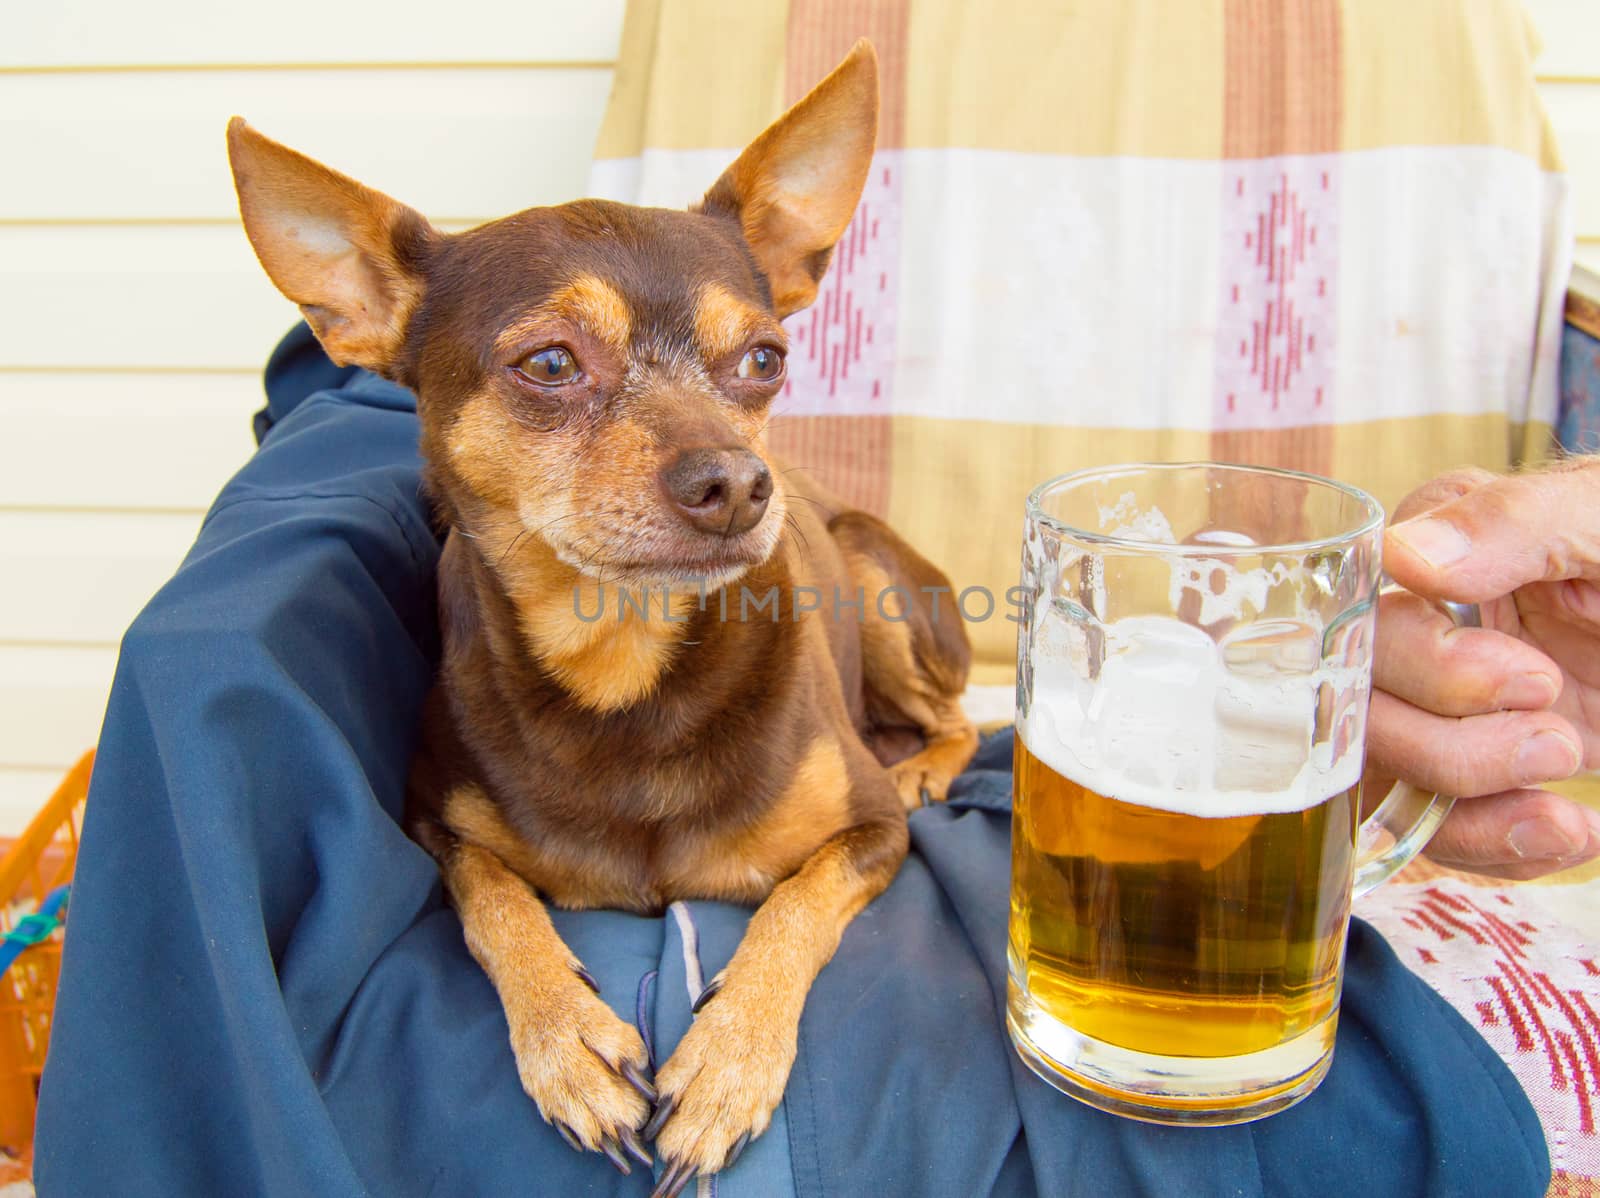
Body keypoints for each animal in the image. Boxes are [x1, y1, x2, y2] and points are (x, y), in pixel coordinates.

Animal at [225, 41, 972, 1190]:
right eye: (549, 364)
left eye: (765, 359)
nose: (739, 484)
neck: (627, 670)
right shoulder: (434, 825)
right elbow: (495, 904)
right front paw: (566, 1040)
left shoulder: (870, 835)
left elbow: (794, 907)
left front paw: (729, 1060)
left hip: (883, 592)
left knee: (963, 713)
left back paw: (927, 762)